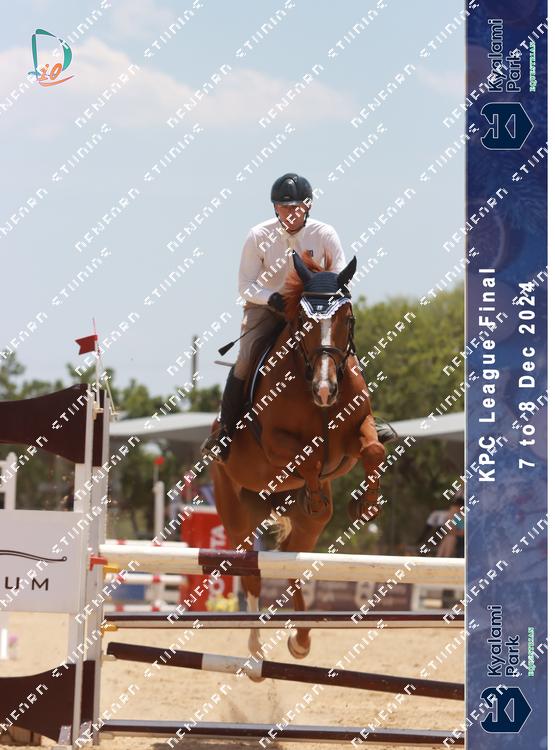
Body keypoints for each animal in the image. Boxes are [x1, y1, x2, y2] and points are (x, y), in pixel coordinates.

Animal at [211, 251, 386, 669]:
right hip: (236, 516)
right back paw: (255, 650)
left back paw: (301, 640)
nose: (326, 389)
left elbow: (374, 448)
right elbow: (307, 456)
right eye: (304, 321)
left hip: (306, 529)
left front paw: (366, 504)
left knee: (292, 562)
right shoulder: (275, 443)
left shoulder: (356, 434)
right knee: (252, 572)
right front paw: (317, 491)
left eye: (347, 317)